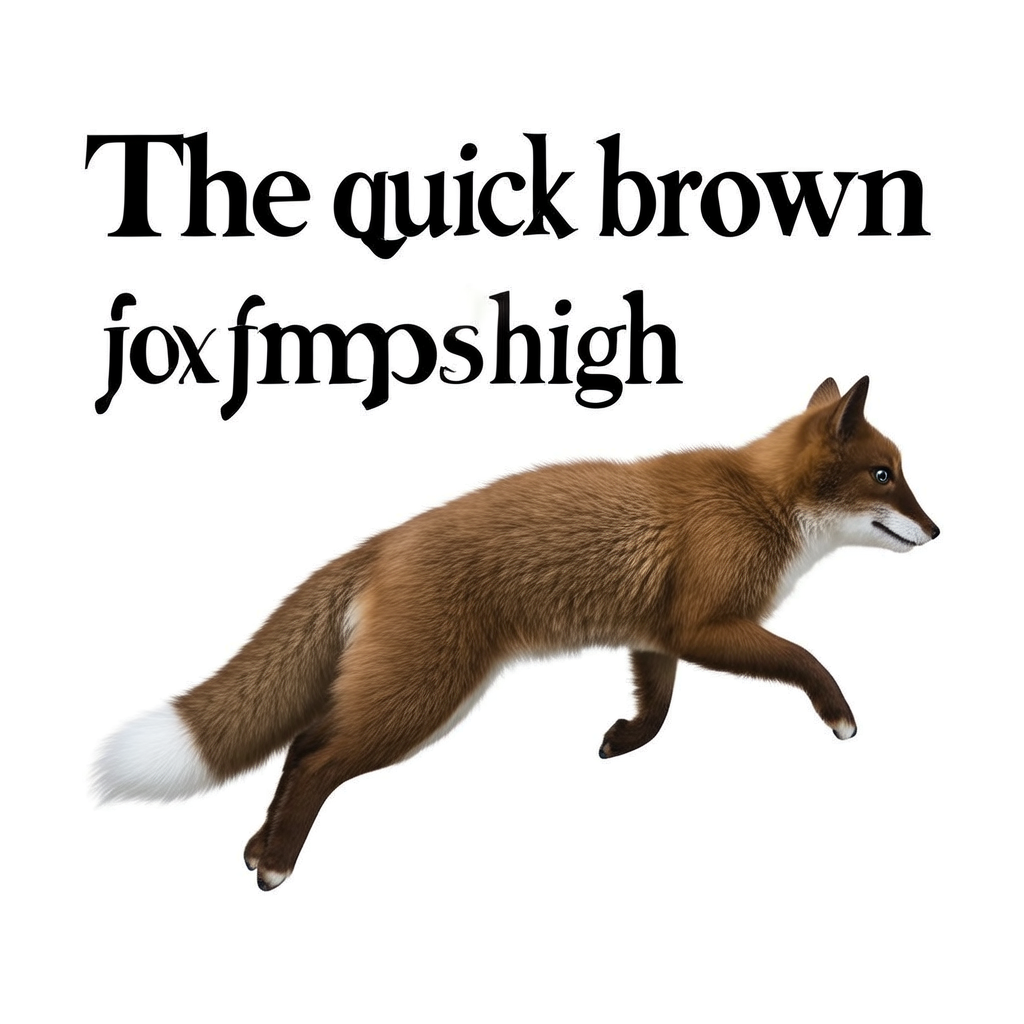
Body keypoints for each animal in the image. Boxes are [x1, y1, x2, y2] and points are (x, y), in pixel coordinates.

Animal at [94, 376, 938, 890]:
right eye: (884, 475)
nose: (937, 531)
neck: (760, 499)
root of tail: (384, 540)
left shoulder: (658, 633)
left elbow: (659, 709)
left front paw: (623, 740)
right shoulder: (709, 626)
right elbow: (806, 659)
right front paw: (839, 715)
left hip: (403, 693)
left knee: (302, 745)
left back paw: (260, 846)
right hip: (422, 702)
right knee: (317, 760)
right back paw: (277, 862)